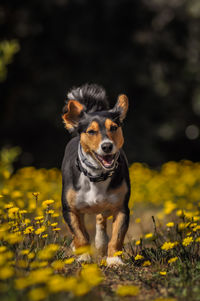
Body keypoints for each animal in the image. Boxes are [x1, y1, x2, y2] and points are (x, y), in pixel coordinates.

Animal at [61, 83, 130, 264]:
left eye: (114, 128)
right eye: (91, 131)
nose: (107, 146)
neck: (97, 175)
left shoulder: (122, 207)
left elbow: (117, 237)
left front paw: (114, 260)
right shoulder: (69, 209)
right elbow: (80, 235)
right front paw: (83, 256)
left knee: (100, 219)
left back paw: (100, 243)